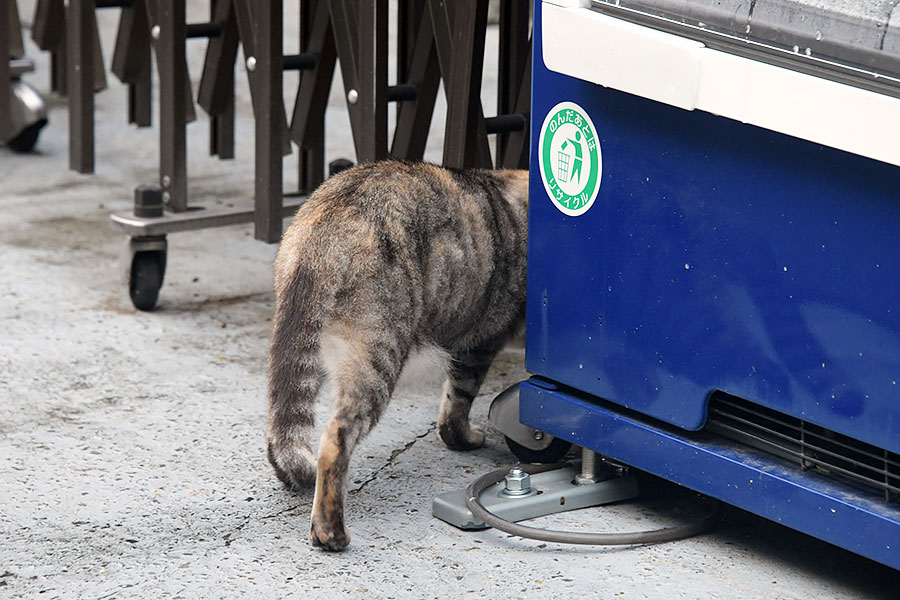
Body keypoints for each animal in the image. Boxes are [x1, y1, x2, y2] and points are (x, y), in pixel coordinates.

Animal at [268, 158, 536, 548]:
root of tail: (330, 216)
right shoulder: (481, 341)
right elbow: (459, 399)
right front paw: (463, 438)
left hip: (304, 344)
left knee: (282, 419)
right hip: (378, 352)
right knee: (335, 437)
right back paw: (330, 532)